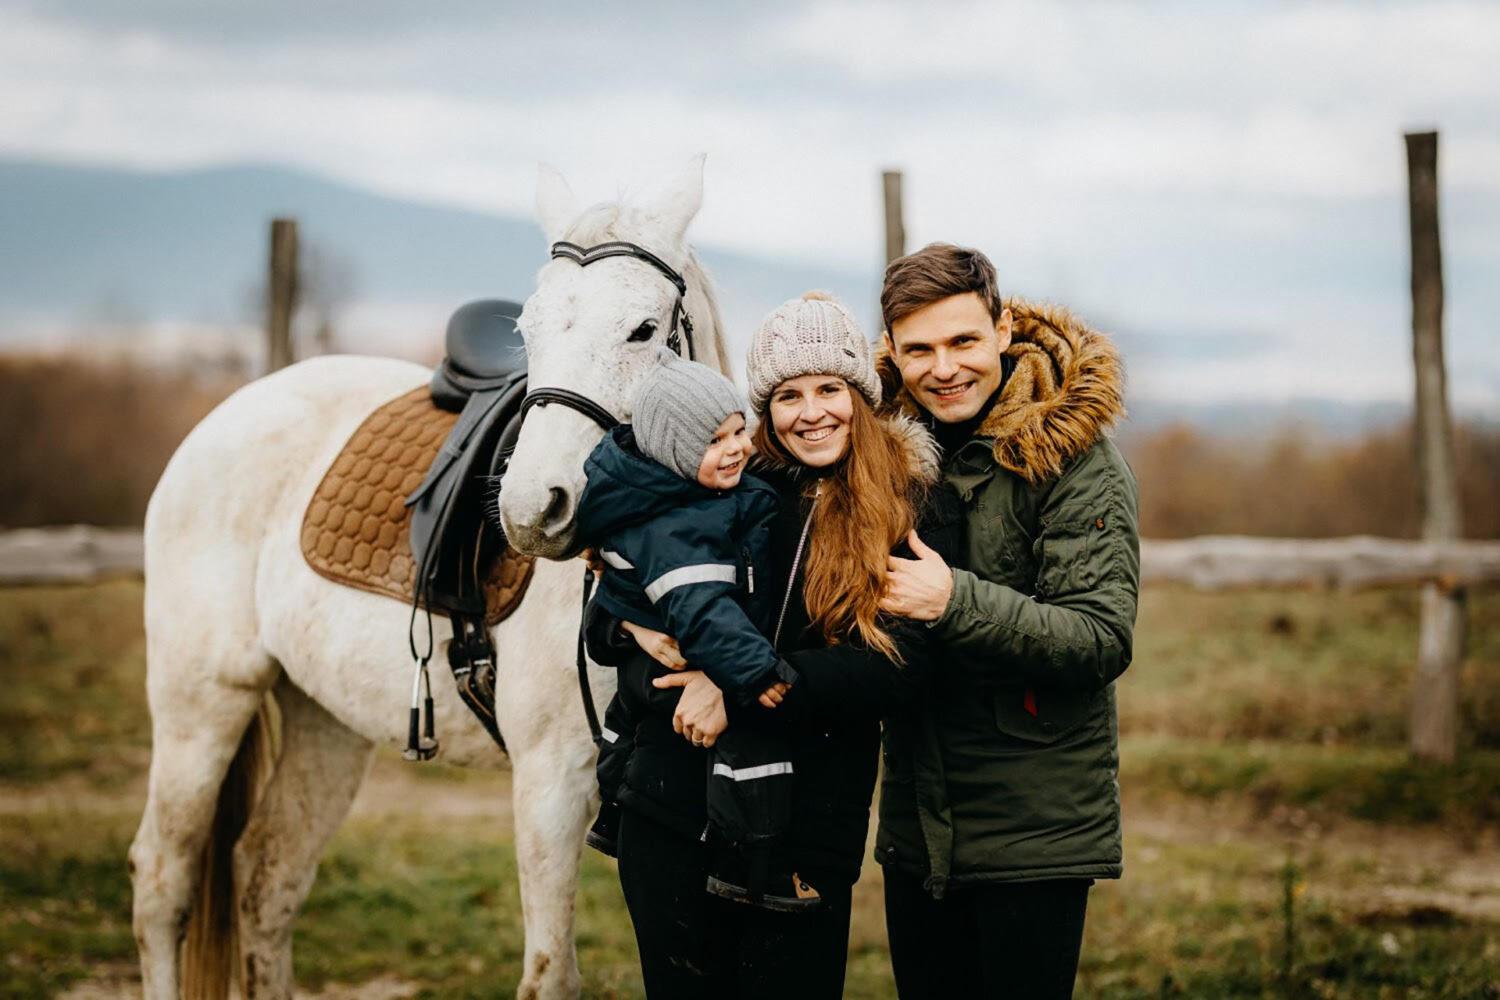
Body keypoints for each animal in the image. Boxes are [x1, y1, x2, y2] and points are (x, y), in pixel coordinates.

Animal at [132, 154, 729, 995]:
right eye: (527, 331)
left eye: (643, 330)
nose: (530, 507)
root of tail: (229, 412)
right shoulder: (551, 779)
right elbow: (551, 974)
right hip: (201, 705)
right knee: (163, 882)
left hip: (324, 719)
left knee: (267, 876)